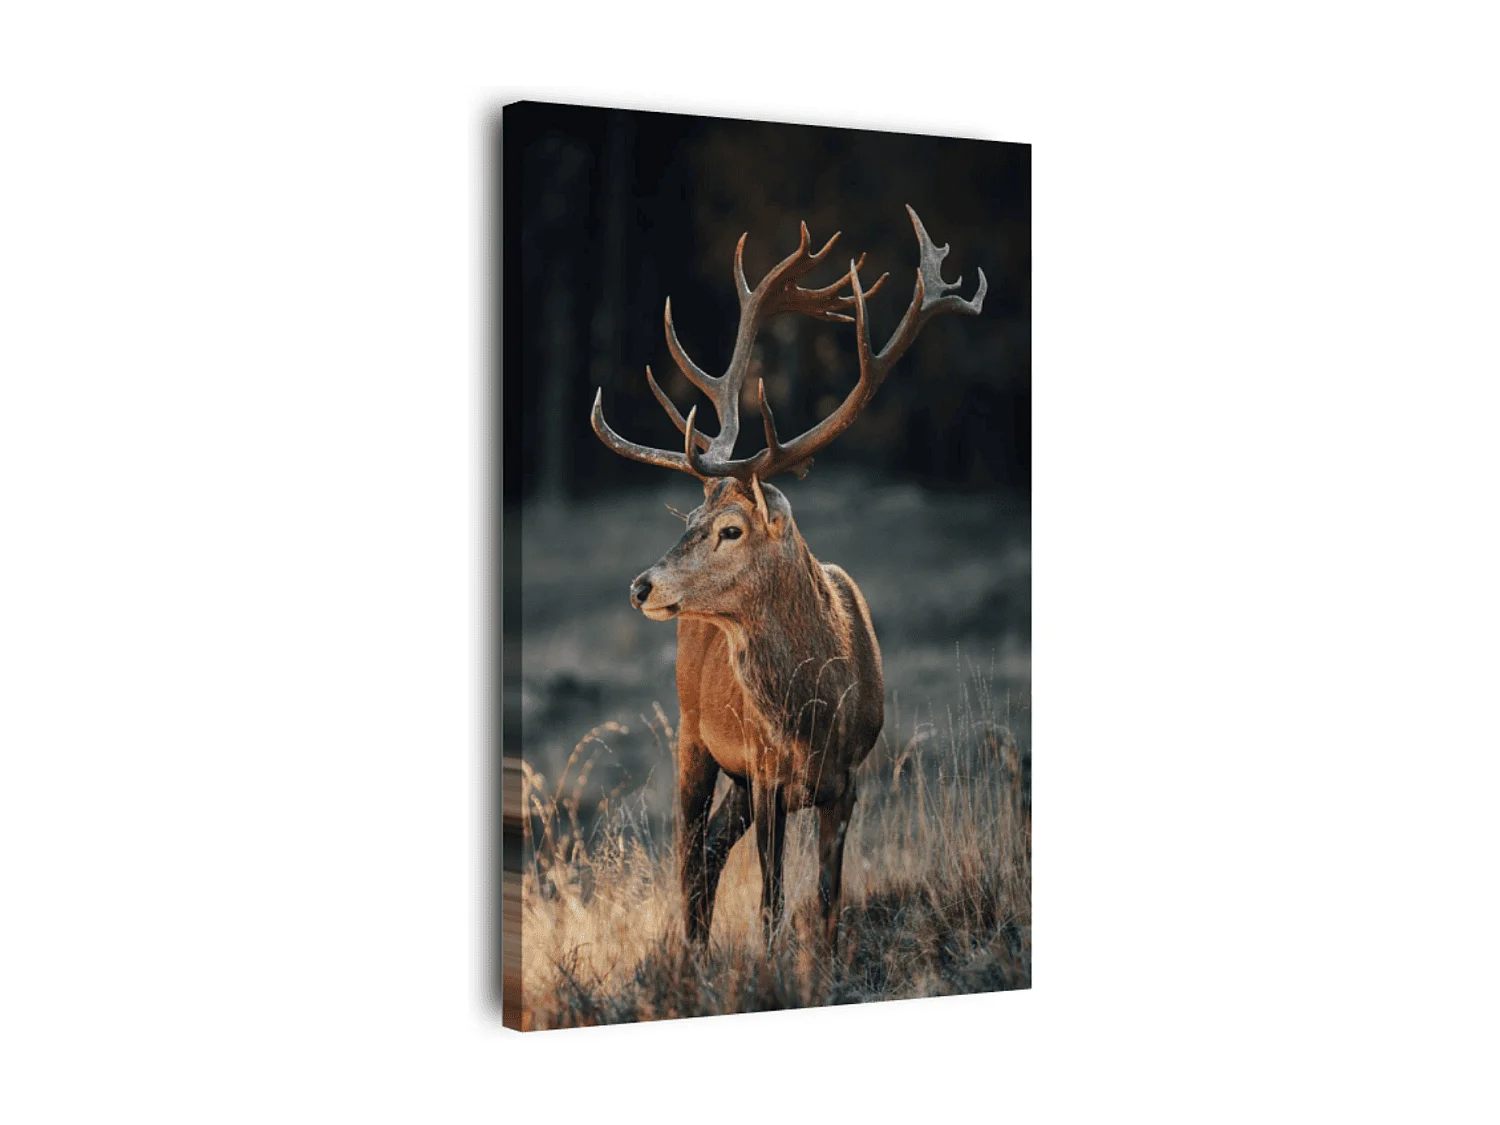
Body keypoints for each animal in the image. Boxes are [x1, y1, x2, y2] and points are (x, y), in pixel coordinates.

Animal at [590, 206, 985, 950]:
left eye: (731, 529)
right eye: (691, 515)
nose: (641, 586)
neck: (814, 714)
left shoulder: (848, 778)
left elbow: (826, 900)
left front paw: (823, 959)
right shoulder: (767, 771)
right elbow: (772, 906)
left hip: (737, 777)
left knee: (709, 851)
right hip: (692, 735)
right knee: (688, 853)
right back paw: (691, 954)